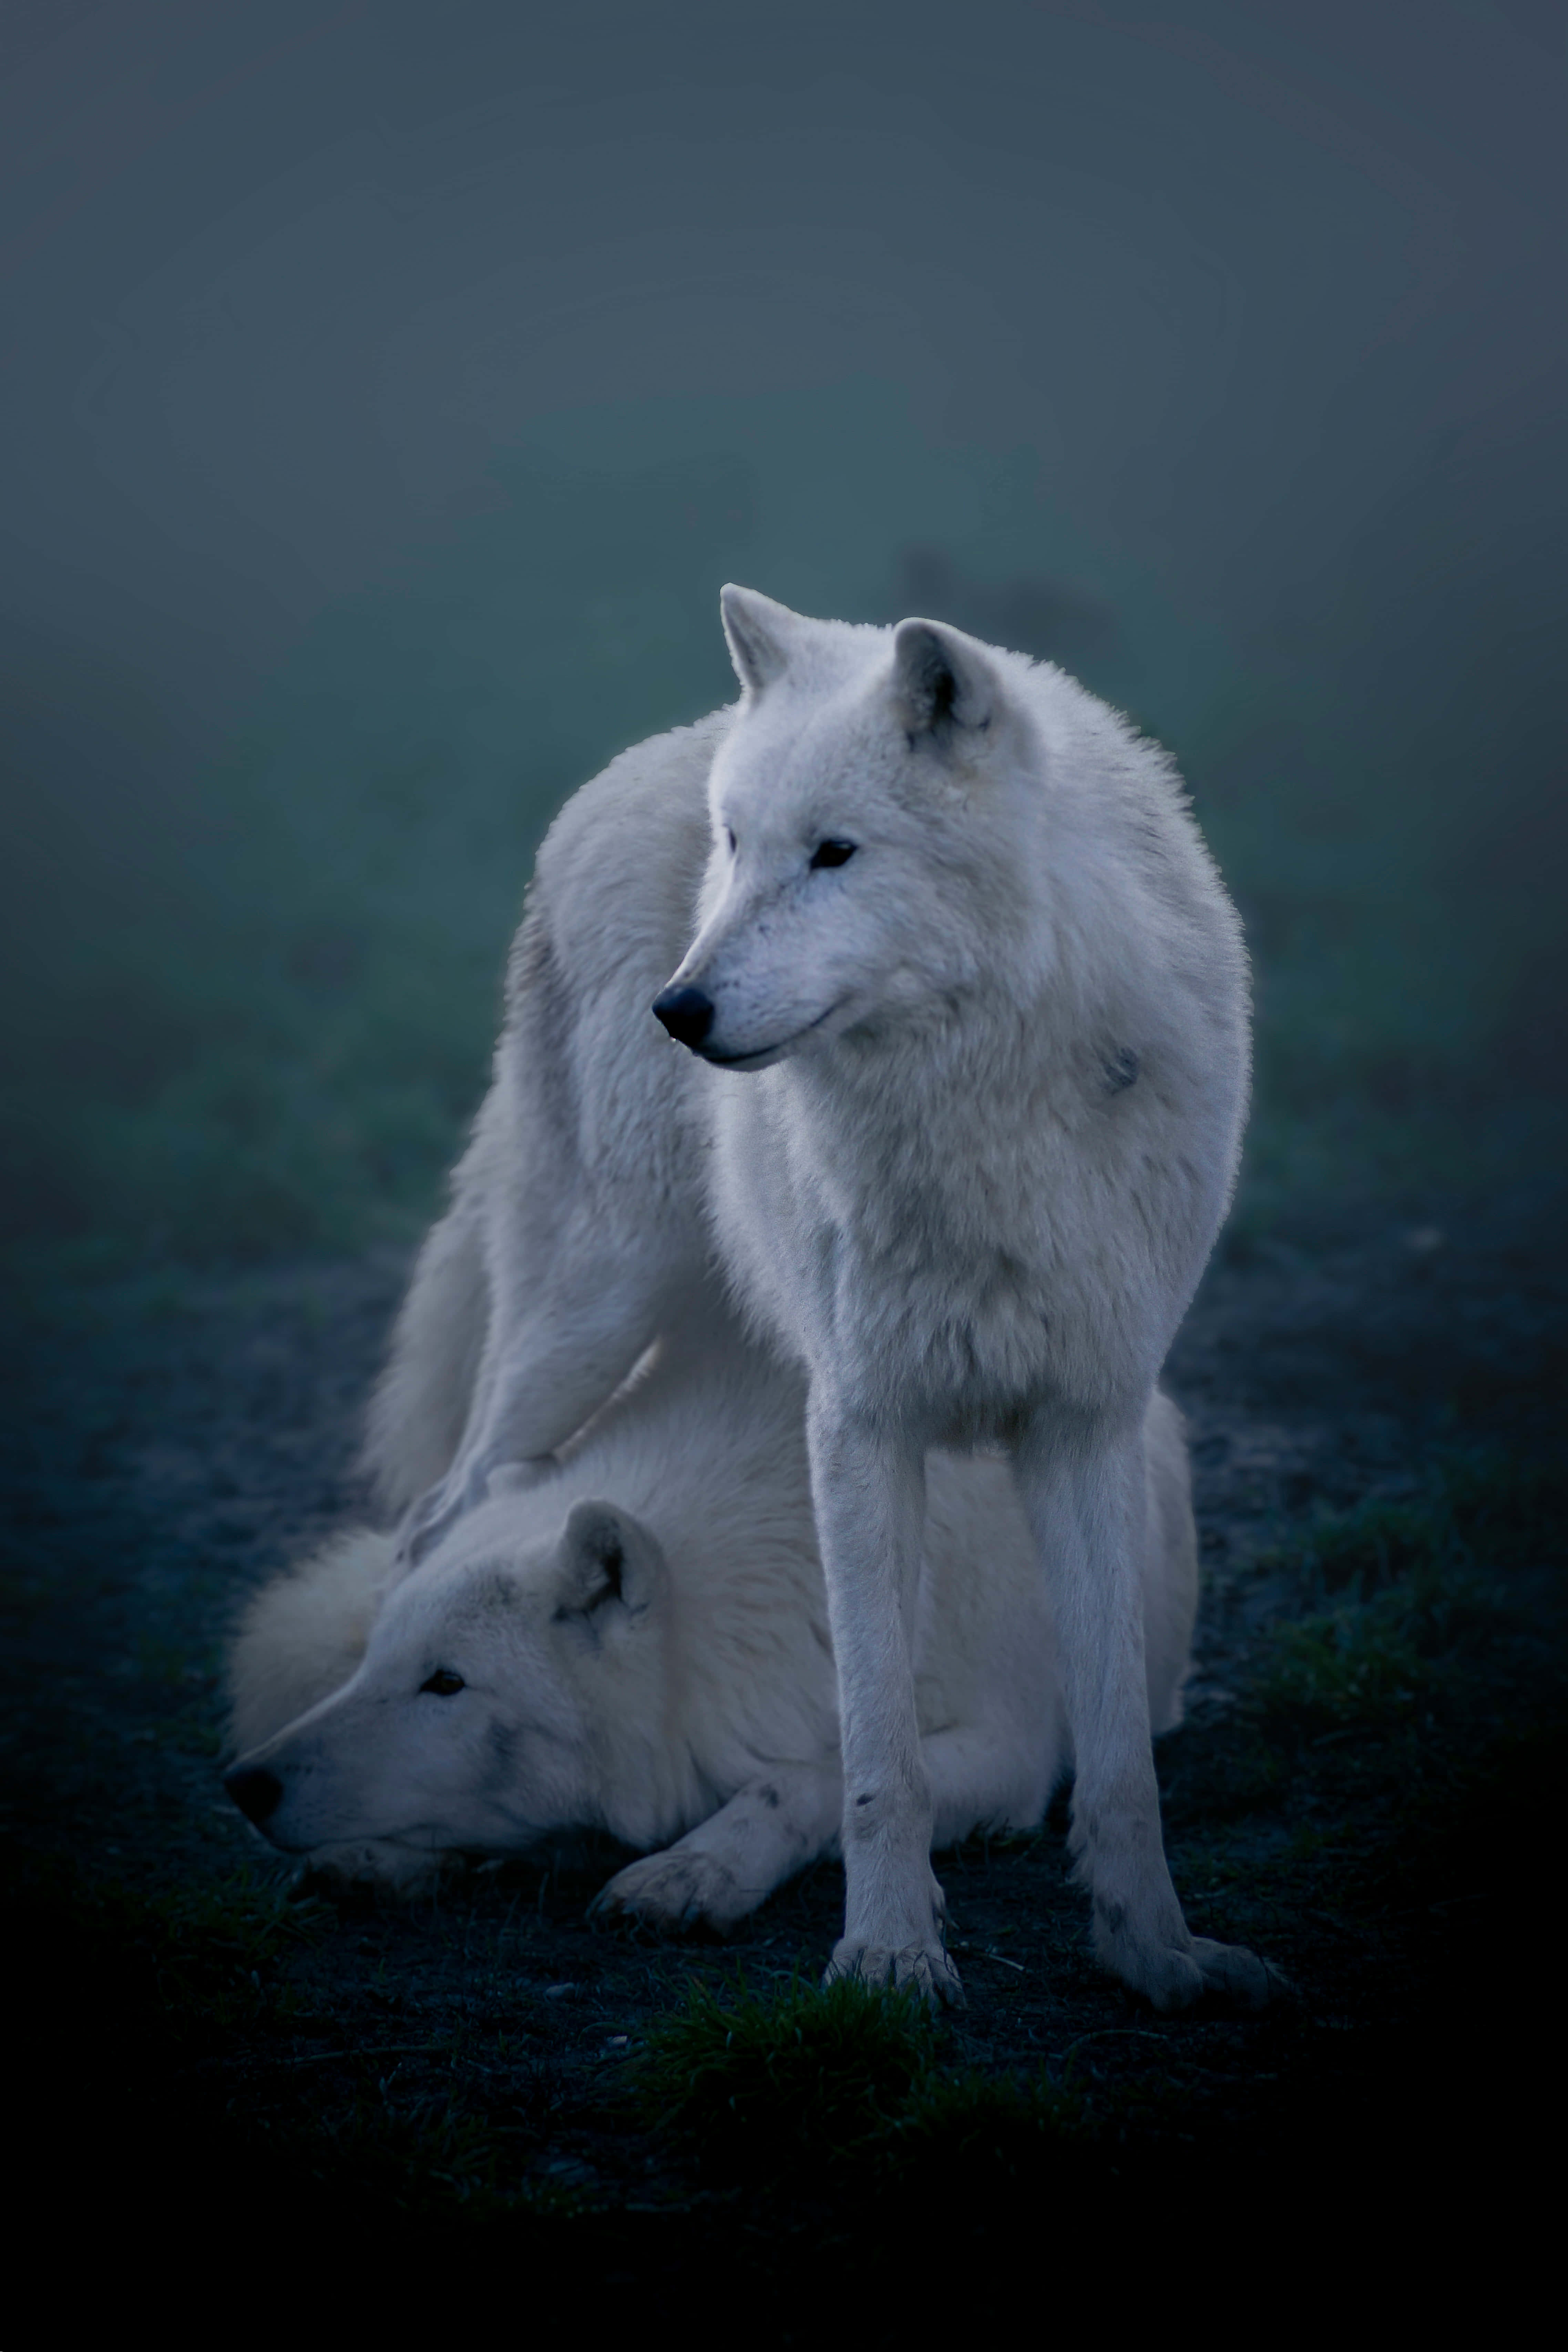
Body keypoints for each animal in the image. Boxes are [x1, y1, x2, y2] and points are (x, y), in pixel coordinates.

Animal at [226, 1312, 1201, 1918]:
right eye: (375, 1662)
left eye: (446, 1682)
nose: (244, 1783)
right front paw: (381, 1858)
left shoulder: (1009, 1750)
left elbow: (810, 1778)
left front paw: (697, 1868)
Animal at [369, 588, 1265, 2010]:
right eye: (736, 848)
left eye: (836, 854)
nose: (677, 1008)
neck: (976, 1119)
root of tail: (645, 753)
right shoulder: (859, 1422)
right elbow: (873, 1752)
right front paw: (889, 1955)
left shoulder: (1084, 1422)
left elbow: (1117, 1751)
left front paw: (1154, 1952)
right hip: (586, 1314)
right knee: (436, 1524)